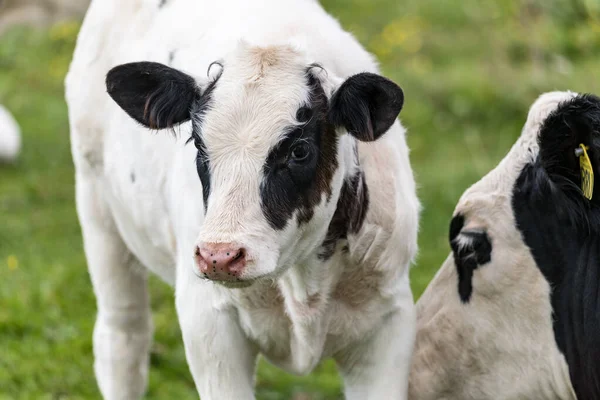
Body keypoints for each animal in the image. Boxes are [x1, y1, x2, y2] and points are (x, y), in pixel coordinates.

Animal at [64, 0, 418, 400]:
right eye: (198, 144)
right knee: (123, 335)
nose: (219, 256)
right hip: (97, 209)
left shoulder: (388, 323)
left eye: (299, 151)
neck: (302, 285)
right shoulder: (208, 322)